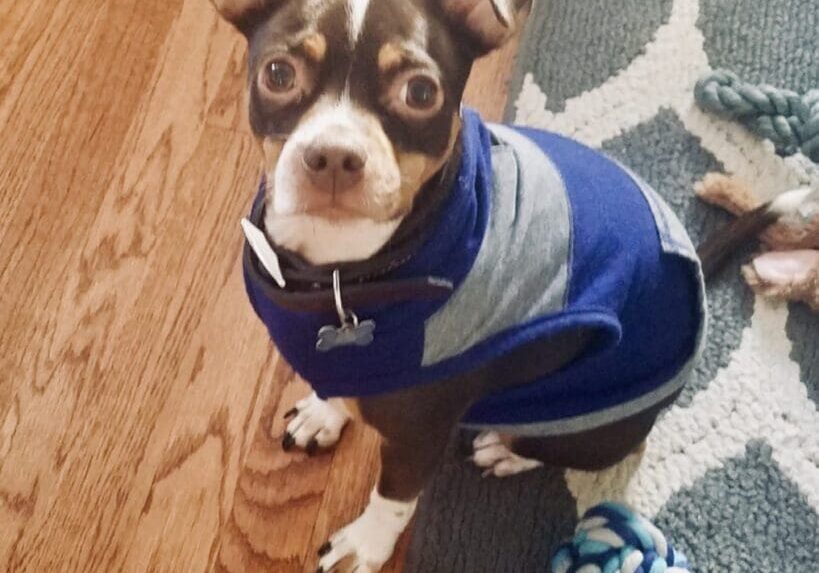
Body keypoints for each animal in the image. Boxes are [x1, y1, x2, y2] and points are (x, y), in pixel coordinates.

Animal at [210, 2, 812, 568]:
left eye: (421, 92)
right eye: (278, 74)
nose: (333, 155)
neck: (338, 273)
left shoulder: (420, 433)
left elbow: (394, 498)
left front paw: (365, 547)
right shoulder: (350, 362)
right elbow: (338, 384)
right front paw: (324, 413)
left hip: (591, 420)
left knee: (589, 447)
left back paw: (507, 449)